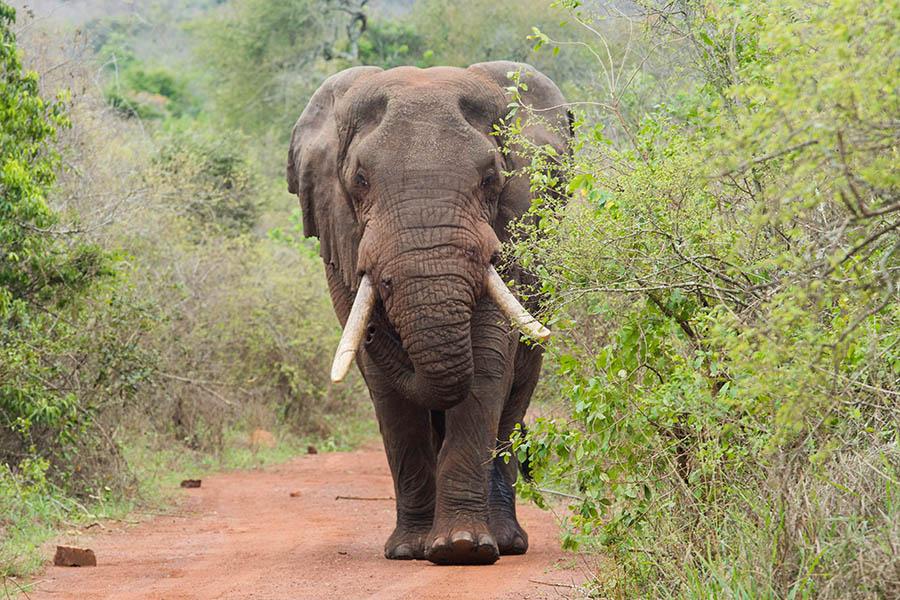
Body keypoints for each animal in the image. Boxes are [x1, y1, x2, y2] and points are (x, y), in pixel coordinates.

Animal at [286, 62, 571, 565]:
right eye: (359, 180)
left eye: (491, 179)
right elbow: (387, 390)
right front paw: (410, 550)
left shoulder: (511, 233)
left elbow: (487, 361)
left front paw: (463, 548)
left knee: (516, 391)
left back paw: (507, 542)